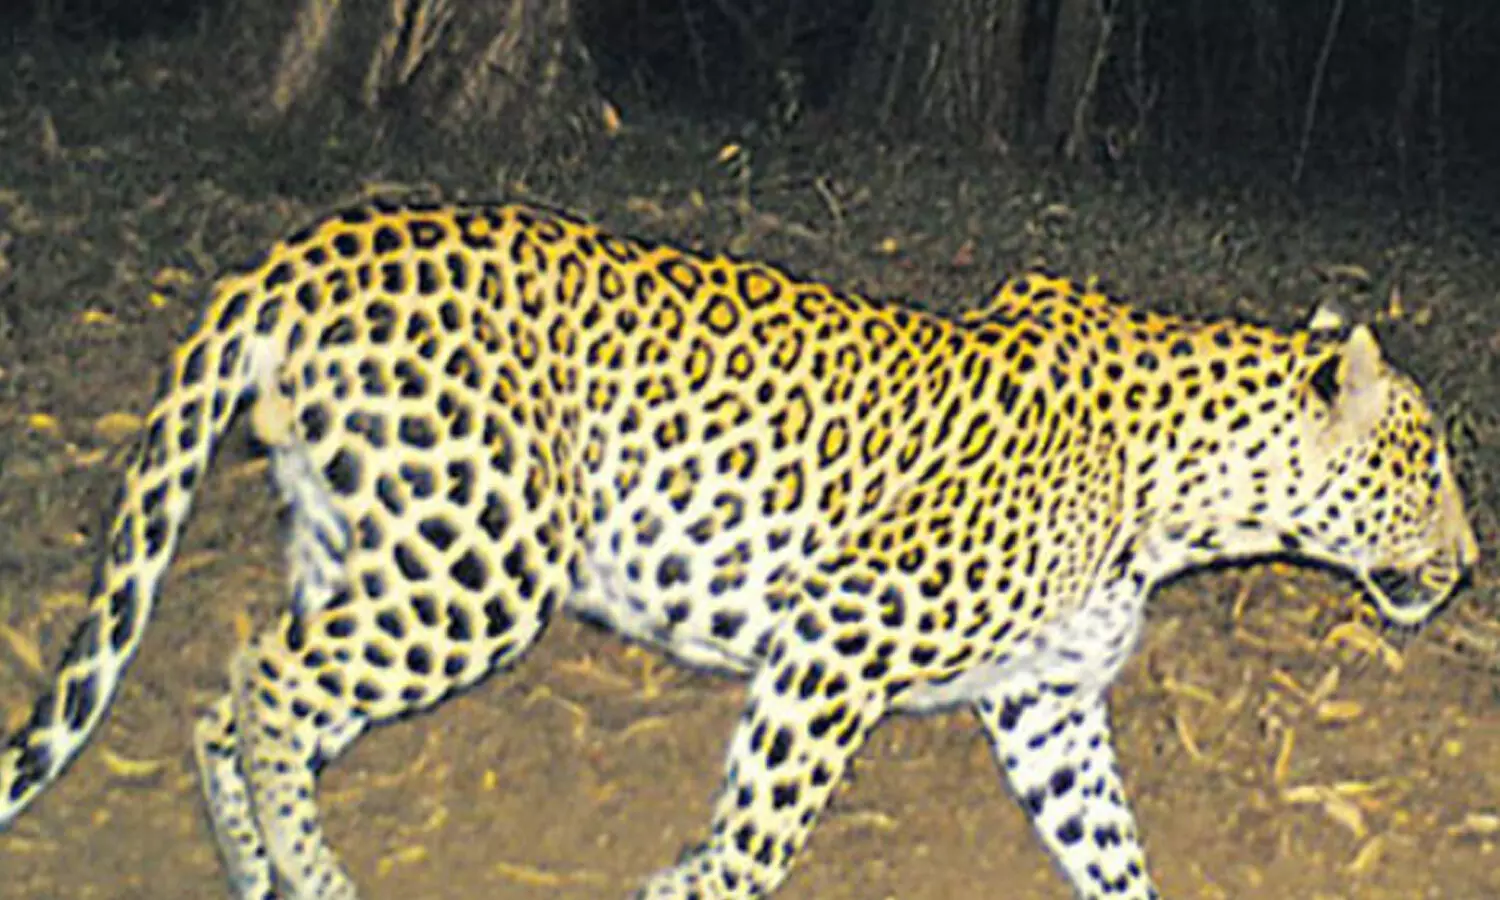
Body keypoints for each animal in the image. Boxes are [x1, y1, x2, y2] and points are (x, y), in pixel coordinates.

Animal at [0, 200, 1479, 900]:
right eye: (1430, 465)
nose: (1471, 563)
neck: (1182, 497)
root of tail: (305, 249)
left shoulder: (1043, 705)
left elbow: (1113, 852)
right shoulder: (837, 640)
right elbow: (763, 835)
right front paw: (682, 885)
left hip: (374, 539)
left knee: (233, 693)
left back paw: (261, 869)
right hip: (475, 565)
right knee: (265, 682)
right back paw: (312, 875)